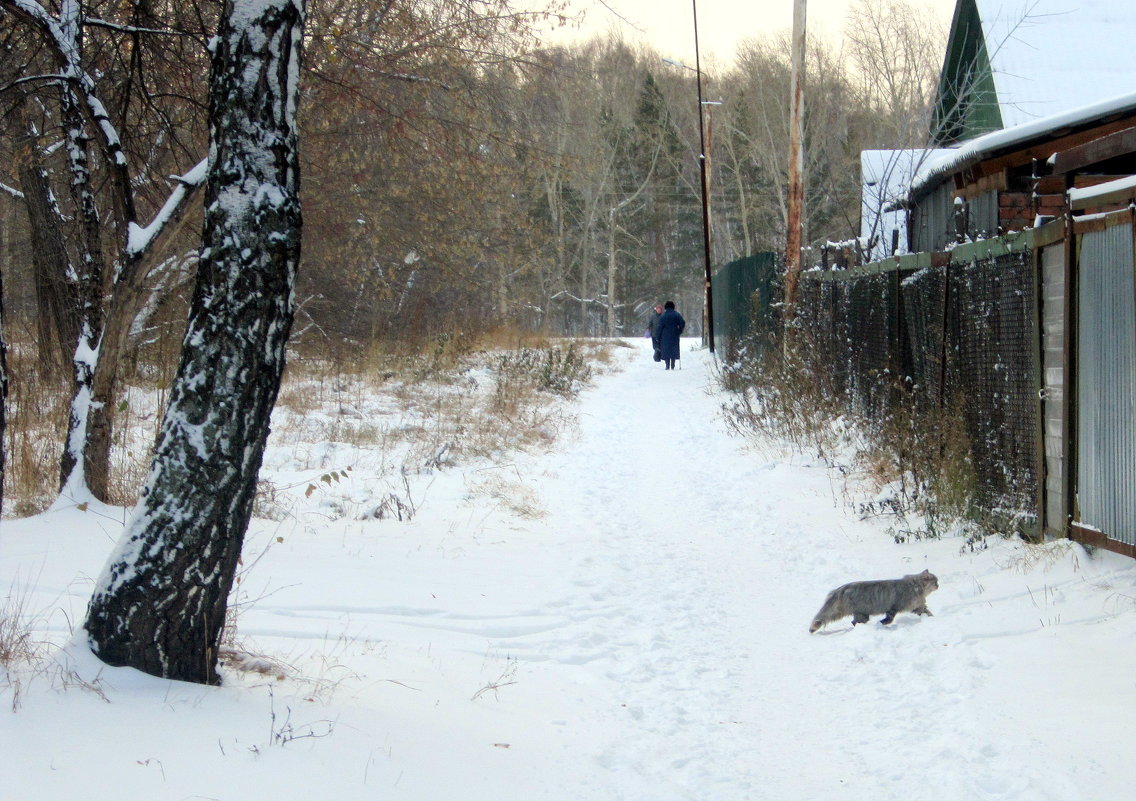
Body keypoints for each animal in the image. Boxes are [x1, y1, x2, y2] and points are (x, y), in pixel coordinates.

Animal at [808, 568, 940, 631]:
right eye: (935, 582)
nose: (939, 585)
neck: (916, 587)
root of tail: (841, 589)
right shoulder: (894, 607)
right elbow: (889, 619)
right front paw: (882, 623)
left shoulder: (918, 607)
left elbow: (928, 613)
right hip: (862, 614)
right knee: (855, 622)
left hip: (860, 614)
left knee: (854, 622)